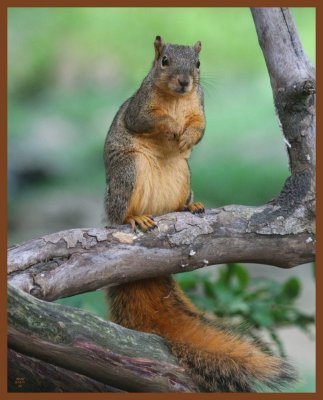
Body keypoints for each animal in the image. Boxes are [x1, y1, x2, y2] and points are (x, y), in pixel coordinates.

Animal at [102, 36, 298, 392]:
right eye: (164, 61)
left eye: (197, 64)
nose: (184, 82)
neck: (176, 100)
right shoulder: (139, 108)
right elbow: (146, 120)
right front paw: (169, 126)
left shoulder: (200, 107)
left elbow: (200, 128)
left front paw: (187, 135)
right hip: (128, 173)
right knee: (122, 211)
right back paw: (134, 218)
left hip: (184, 173)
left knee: (178, 199)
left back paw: (188, 206)